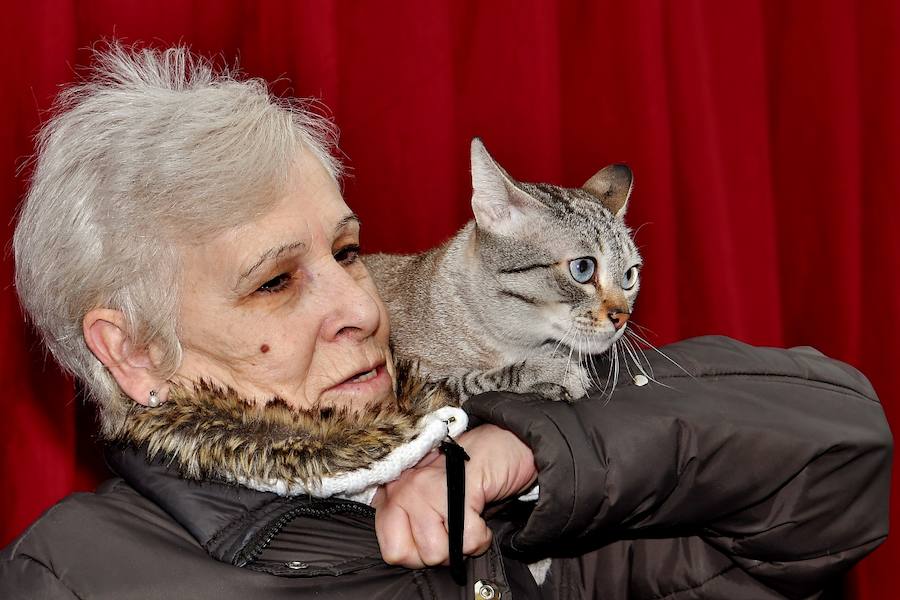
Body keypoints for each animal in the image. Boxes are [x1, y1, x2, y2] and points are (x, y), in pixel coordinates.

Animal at [362, 139, 644, 404]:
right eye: (583, 268)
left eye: (629, 276)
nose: (623, 318)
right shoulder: (409, 392)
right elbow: (478, 379)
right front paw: (551, 373)